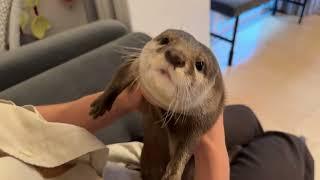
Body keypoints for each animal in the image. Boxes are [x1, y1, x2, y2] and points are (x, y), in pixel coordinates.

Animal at [89, 29, 225, 180]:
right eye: (165, 40)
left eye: (200, 64)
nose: (176, 56)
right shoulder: (135, 64)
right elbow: (120, 77)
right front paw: (101, 103)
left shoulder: (202, 122)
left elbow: (186, 149)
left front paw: (173, 175)